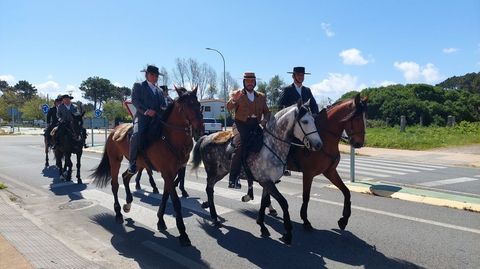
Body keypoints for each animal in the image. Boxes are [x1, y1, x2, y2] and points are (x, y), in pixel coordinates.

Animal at [91, 87, 203, 246]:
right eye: (185, 107)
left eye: (199, 105)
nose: (200, 130)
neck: (168, 136)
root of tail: (114, 130)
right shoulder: (167, 173)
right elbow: (175, 202)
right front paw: (183, 234)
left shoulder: (173, 172)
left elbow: (165, 196)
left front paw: (161, 220)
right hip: (115, 161)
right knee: (115, 185)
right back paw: (118, 213)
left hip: (137, 164)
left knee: (125, 177)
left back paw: (128, 203)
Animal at [191, 99, 322, 244]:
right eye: (305, 121)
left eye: (314, 120)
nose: (319, 145)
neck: (271, 145)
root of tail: (205, 137)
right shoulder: (267, 182)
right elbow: (283, 202)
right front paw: (287, 234)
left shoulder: (267, 183)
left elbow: (264, 203)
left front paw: (262, 226)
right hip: (212, 171)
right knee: (209, 189)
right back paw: (214, 218)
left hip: (221, 172)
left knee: (210, 189)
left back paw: (210, 210)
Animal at [284, 93, 368, 230]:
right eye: (356, 118)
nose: (359, 143)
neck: (324, 139)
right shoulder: (308, 174)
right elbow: (306, 197)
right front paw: (305, 220)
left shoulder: (330, 172)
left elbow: (346, 192)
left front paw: (344, 219)